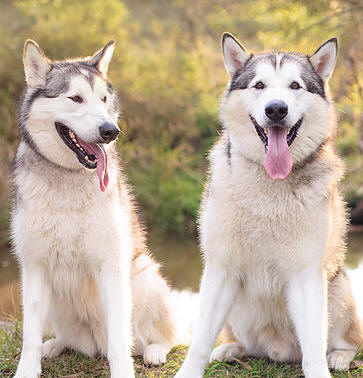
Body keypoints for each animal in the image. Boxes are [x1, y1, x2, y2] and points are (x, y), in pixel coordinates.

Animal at [11, 39, 188, 376]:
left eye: (104, 99)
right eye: (75, 98)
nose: (111, 131)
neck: (68, 178)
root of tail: (93, 344)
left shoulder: (111, 266)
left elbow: (120, 340)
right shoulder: (35, 266)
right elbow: (29, 335)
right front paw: (27, 368)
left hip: (145, 276)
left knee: (162, 338)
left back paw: (154, 351)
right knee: (68, 339)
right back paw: (55, 345)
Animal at [176, 33, 362, 378]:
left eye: (295, 85)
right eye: (259, 85)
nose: (276, 109)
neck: (268, 188)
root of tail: (279, 352)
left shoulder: (306, 274)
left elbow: (314, 347)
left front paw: (322, 369)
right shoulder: (220, 269)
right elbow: (200, 338)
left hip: (339, 288)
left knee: (347, 341)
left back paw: (340, 357)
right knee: (241, 343)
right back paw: (230, 349)